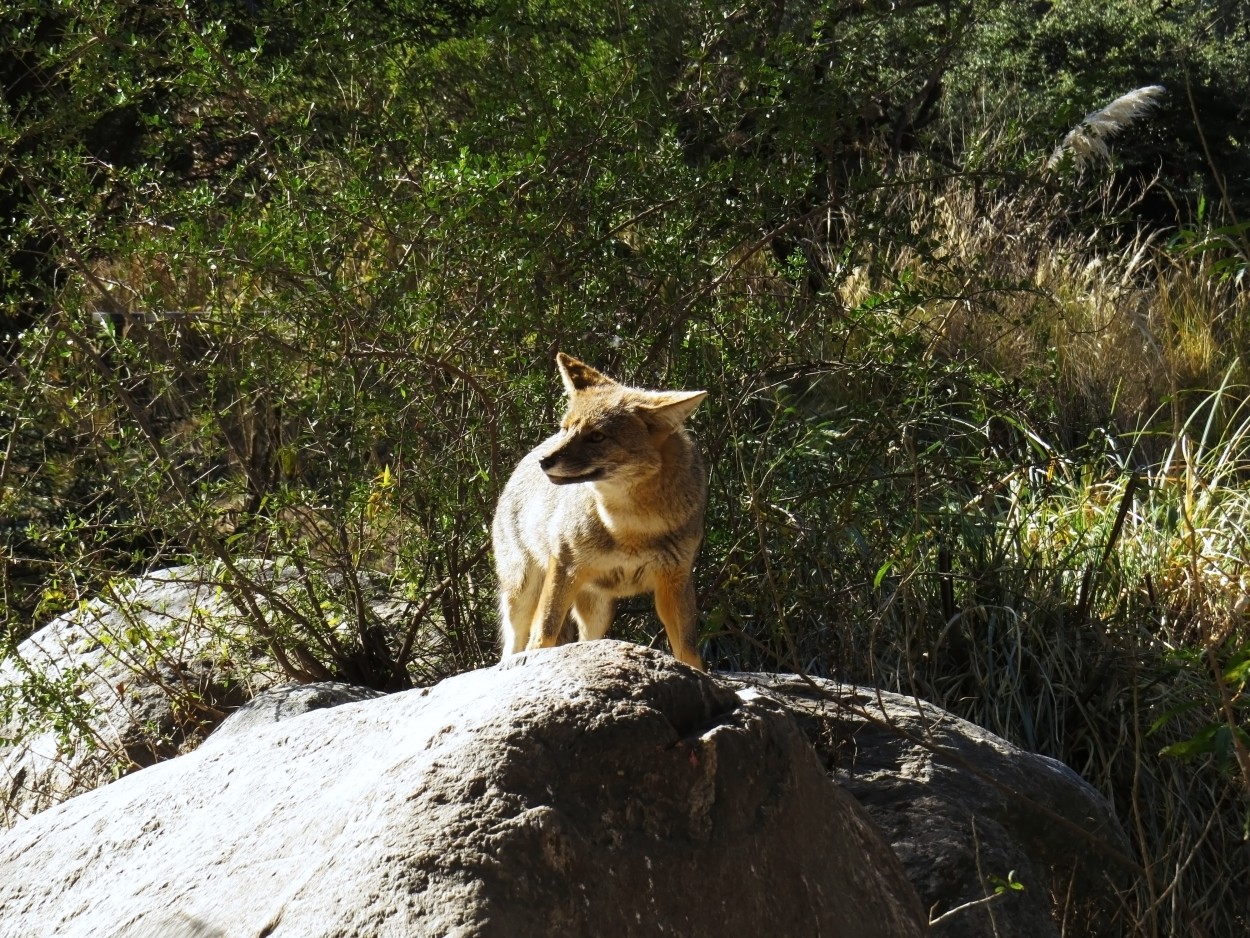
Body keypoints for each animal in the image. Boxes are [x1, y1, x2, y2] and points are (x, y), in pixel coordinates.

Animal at [492, 352, 710, 670]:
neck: (630, 528)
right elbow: (543, 632)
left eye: (597, 437)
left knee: (585, 643)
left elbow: (688, 650)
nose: (544, 461)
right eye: (566, 428)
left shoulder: (675, 582)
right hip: (523, 592)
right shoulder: (564, 568)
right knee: (516, 642)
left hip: (598, 611)